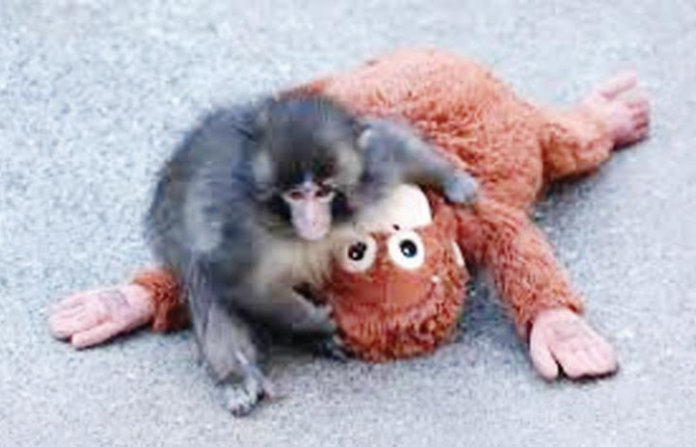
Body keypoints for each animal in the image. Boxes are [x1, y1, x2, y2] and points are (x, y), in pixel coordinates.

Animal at [145, 95, 478, 416]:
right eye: (295, 195)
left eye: (322, 192)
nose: (311, 220)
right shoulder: (241, 233)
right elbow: (241, 284)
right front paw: (314, 321)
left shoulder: (371, 173)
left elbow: (393, 146)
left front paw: (454, 180)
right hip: (170, 236)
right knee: (204, 284)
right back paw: (239, 376)